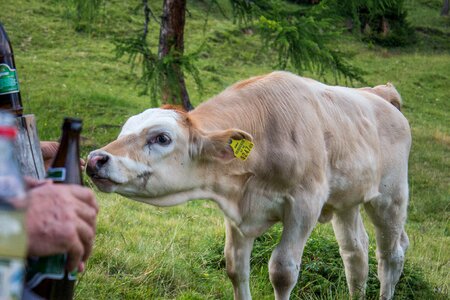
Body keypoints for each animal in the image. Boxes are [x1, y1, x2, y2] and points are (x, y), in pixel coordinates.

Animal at [87, 71, 412, 298]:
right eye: (124, 130)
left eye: (162, 137)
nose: (95, 159)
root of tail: (378, 93)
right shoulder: (236, 211)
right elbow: (235, 267)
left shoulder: (304, 205)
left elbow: (282, 271)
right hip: (347, 200)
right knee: (356, 254)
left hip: (391, 196)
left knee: (391, 255)